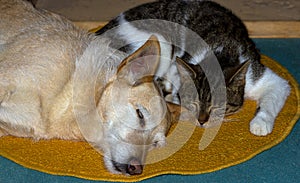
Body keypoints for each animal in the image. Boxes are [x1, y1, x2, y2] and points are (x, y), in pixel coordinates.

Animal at [96, 0, 290, 136]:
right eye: (196, 103)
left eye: (217, 106)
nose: (202, 122)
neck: (222, 52)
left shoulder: (266, 78)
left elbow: (271, 100)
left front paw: (260, 123)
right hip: (161, 42)